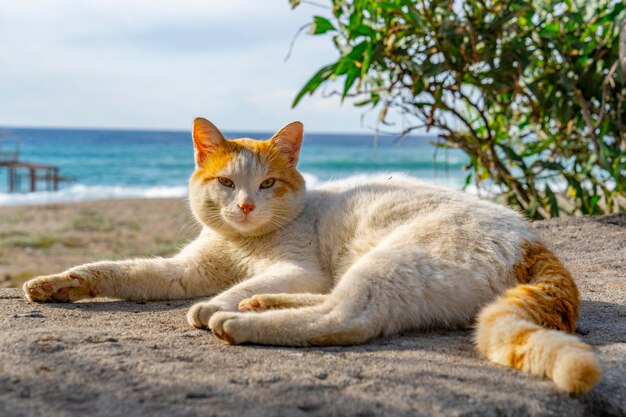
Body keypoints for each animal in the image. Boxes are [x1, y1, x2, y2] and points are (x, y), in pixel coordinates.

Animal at [23, 116, 600, 394]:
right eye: (227, 183)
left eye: (268, 184)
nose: (246, 205)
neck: (243, 244)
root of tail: (530, 237)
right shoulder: (184, 270)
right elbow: (120, 270)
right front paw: (58, 283)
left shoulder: (299, 268)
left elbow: (236, 285)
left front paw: (214, 305)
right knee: (327, 309)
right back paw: (259, 309)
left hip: (386, 264)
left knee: (343, 319)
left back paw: (239, 320)